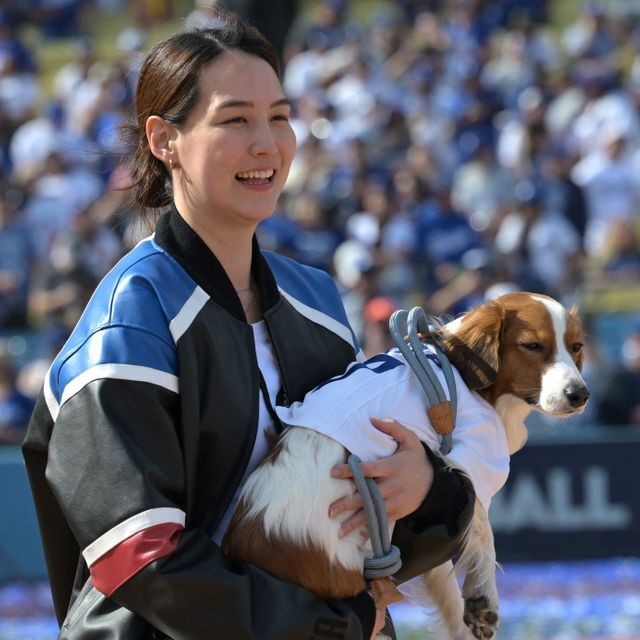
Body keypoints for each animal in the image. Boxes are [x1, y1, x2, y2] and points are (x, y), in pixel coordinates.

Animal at [222, 294, 588, 640]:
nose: (580, 394)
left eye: (576, 346)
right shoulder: (471, 456)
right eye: (533, 346)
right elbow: (482, 528)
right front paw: (483, 597)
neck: (462, 374)